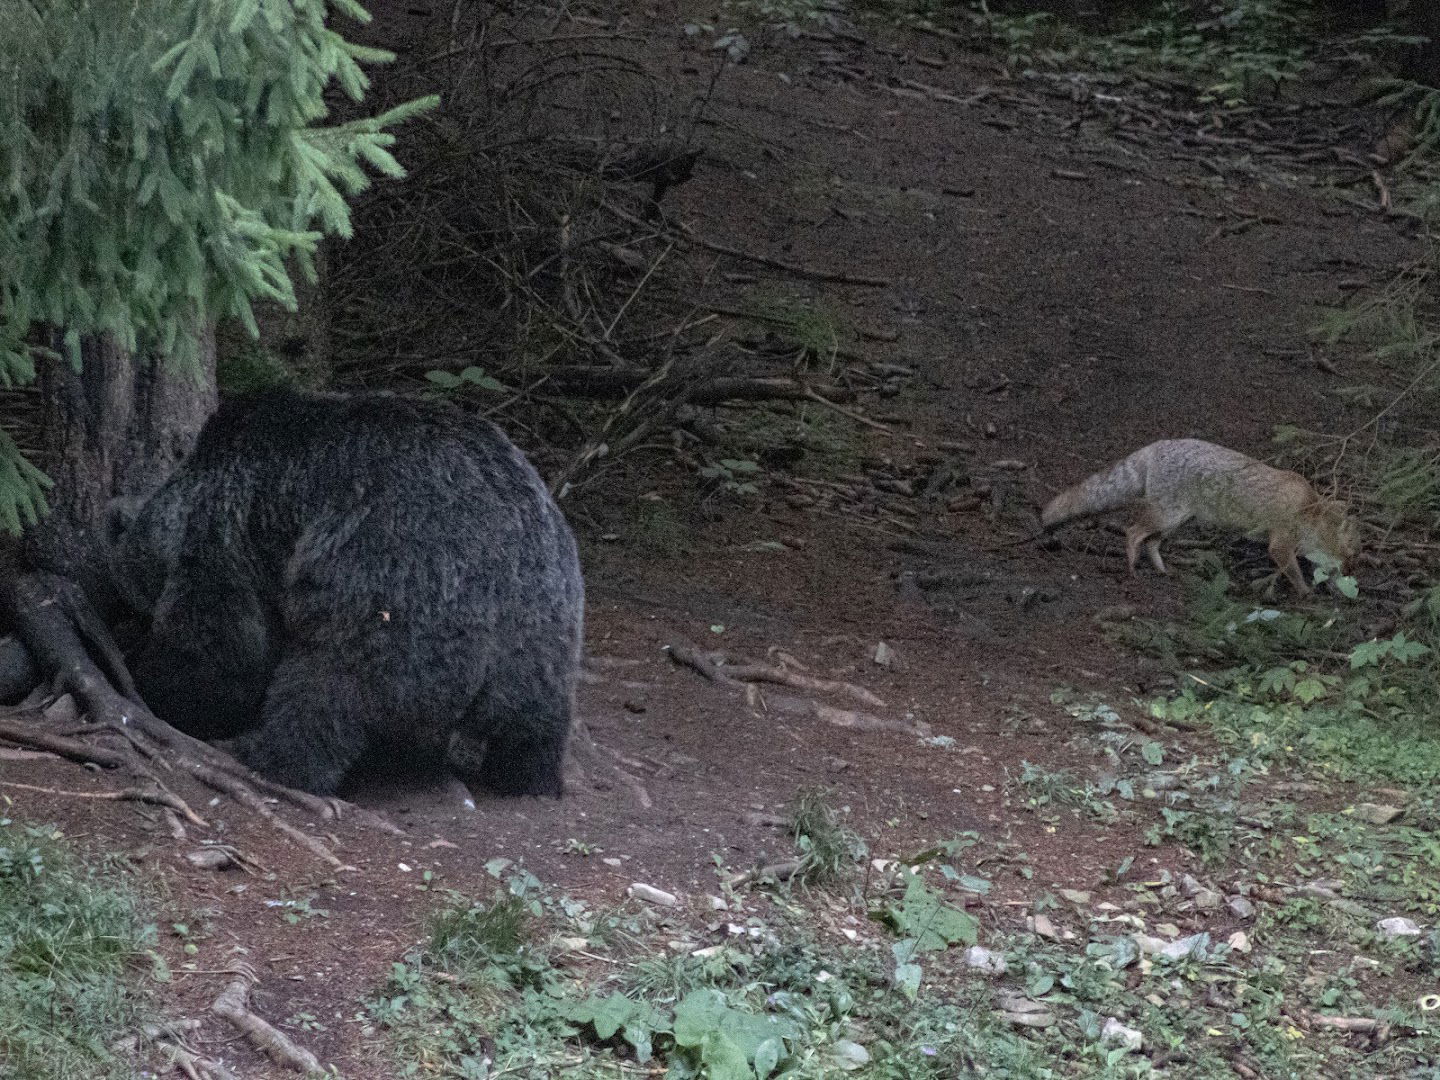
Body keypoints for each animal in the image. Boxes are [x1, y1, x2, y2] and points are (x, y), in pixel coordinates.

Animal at [105, 385, 584, 794]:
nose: (126, 625)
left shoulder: (228, 532)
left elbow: (217, 643)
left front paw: (163, 689)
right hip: (539, 629)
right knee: (536, 719)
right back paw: (528, 775)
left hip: (385, 592)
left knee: (326, 690)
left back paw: (272, 756)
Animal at [1042, 440, 1353, 596]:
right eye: (1348, 555)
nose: (1350, 580)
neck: (1306, 508)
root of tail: (1157, 445)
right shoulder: (1280, 542)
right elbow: (1292, 571)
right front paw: (1305, 592)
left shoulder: (1283, 544)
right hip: (1167, 517)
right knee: (1132, 532)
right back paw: (1131, 568)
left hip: (1177, 522)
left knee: (1151, 543)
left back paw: (1162, 571)